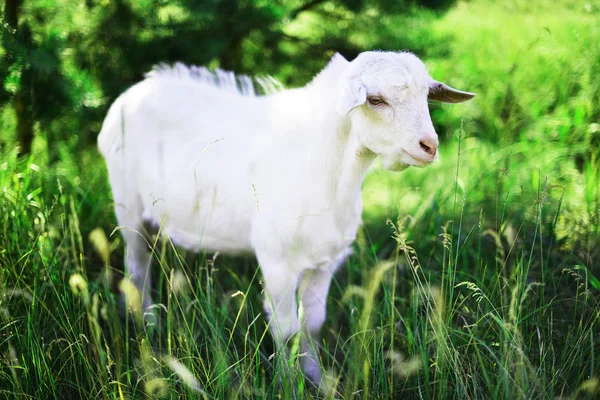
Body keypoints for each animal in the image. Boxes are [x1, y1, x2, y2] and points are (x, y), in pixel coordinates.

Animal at [97, 51, 474, 382]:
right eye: (376, 100)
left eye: (427, 96)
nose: (429, 146)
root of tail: (131, 94)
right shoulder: (276, 260)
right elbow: (286, 328)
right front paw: (287, 383)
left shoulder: (326, 261)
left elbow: (313, 324)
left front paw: (317, 379)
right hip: (127, 205)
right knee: (136, 270)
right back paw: (148, 329)